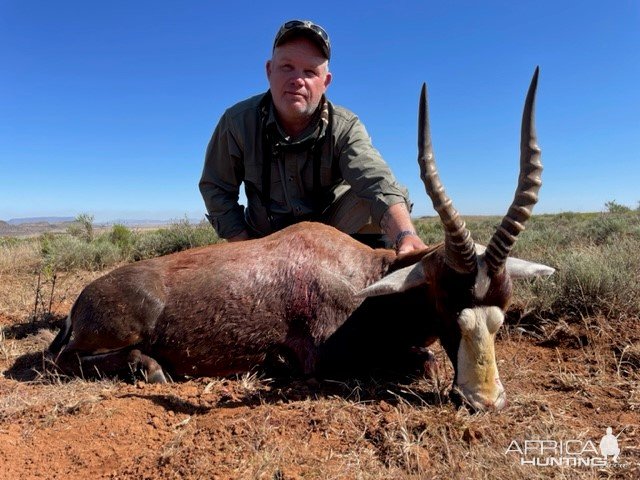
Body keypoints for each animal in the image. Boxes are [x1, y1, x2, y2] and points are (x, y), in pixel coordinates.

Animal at [48, 69, 556, 410]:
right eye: (447, 304)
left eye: (502, 313)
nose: (484, 400)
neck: (365, 277)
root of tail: (80, 303)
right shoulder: (326, 359)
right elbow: (419, 359)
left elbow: (428, 358)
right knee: (61, 362)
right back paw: (151, 368)